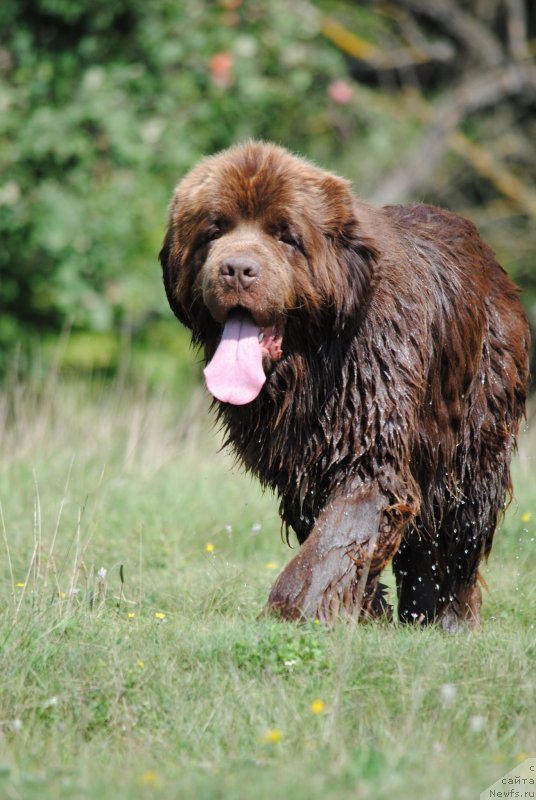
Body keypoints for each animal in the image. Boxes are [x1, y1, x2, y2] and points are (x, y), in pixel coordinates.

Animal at [159, 142, 528, 632]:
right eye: (213, 230)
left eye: (286, 236)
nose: (237, 269)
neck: (314, 360)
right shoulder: (299, 465)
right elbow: (333, 530)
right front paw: (365, 609)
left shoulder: (372, 436)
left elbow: (339, 532)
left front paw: (303, 607)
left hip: (478, 424)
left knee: (461, 531)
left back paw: (451, 617)